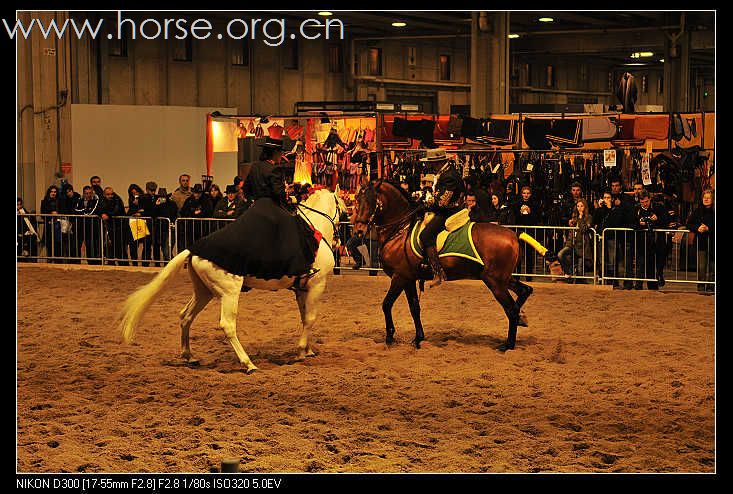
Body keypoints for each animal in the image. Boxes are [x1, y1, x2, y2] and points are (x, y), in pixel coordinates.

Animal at [118, 188, 348, 374]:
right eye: (344, 208)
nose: (340, 238)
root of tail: (194, 249)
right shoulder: (317, 285)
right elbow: (310, 318)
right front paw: (301, 352)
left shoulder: (302, 289)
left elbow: (304, 316)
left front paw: (307, 350)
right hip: (229, 293)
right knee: (227, 325)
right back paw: (248, 364)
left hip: (204, 292)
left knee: (186, 316)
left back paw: (189, 356)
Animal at [352, 179, 540, 350]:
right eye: (357, 200)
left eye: (370, 201)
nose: (359, 230)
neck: (400, 229)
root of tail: (513, 235)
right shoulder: (409, 279)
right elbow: (414, 308)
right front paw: (418, 338)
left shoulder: (400, 277)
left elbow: (387, 304)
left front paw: (390, 337)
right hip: (502, 279)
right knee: (525, 291)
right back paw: (522, 318)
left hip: (495, 282)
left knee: (511, 309)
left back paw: (508, 345)